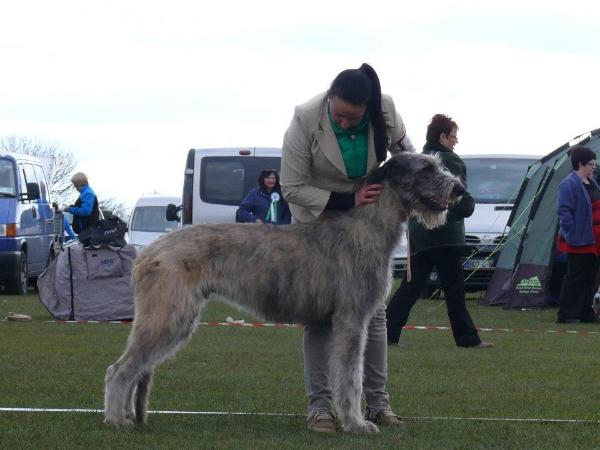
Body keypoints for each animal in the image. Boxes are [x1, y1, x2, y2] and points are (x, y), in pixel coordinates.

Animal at [104, 153, 464, 434]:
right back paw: (115, 419)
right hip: (168, 314)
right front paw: (356, 423)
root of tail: (148, 252)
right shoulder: (351, 320)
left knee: (135, 368)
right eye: (426, 169)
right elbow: (350, 377)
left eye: (437, 165)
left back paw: (126, 415)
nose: (460, 189)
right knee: (120, 369)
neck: (367, 226)